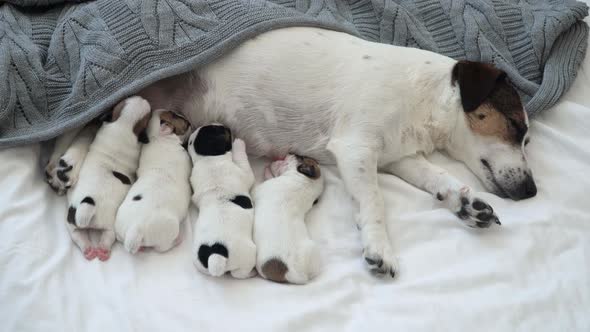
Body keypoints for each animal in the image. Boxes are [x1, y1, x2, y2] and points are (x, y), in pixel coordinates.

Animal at [66, 96, 153, 262]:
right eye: (149, 116)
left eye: (124, 100)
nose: (142, 97)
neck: (124, 124)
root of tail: (87, 207)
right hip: (109, 225)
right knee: (108, 236)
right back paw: (103, 250)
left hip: (73, 223)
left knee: (77, 235)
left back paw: (88, 250)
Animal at [117, 110, 194, 253]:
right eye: (176, 116)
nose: (190, 122)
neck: (157, 138)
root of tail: (135, 229)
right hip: (169, 229)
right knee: (162, 247)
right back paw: (177, 241)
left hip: (120, 231)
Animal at [187, 124, 256, 278]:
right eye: (224, 131)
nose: (226, 125)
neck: (208, 159)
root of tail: (217, 253)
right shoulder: (244, 173)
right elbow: (243, 161)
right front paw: (239, 144)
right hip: (247, 255)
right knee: (239, 274)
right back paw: (252, 273)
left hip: (198, 262)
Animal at [254, 154, 326, 284]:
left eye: (300, 156)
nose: (290, 153)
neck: (305, 183)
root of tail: (294, 274)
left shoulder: (262, 187)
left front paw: (268, 170)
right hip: (312, 252)